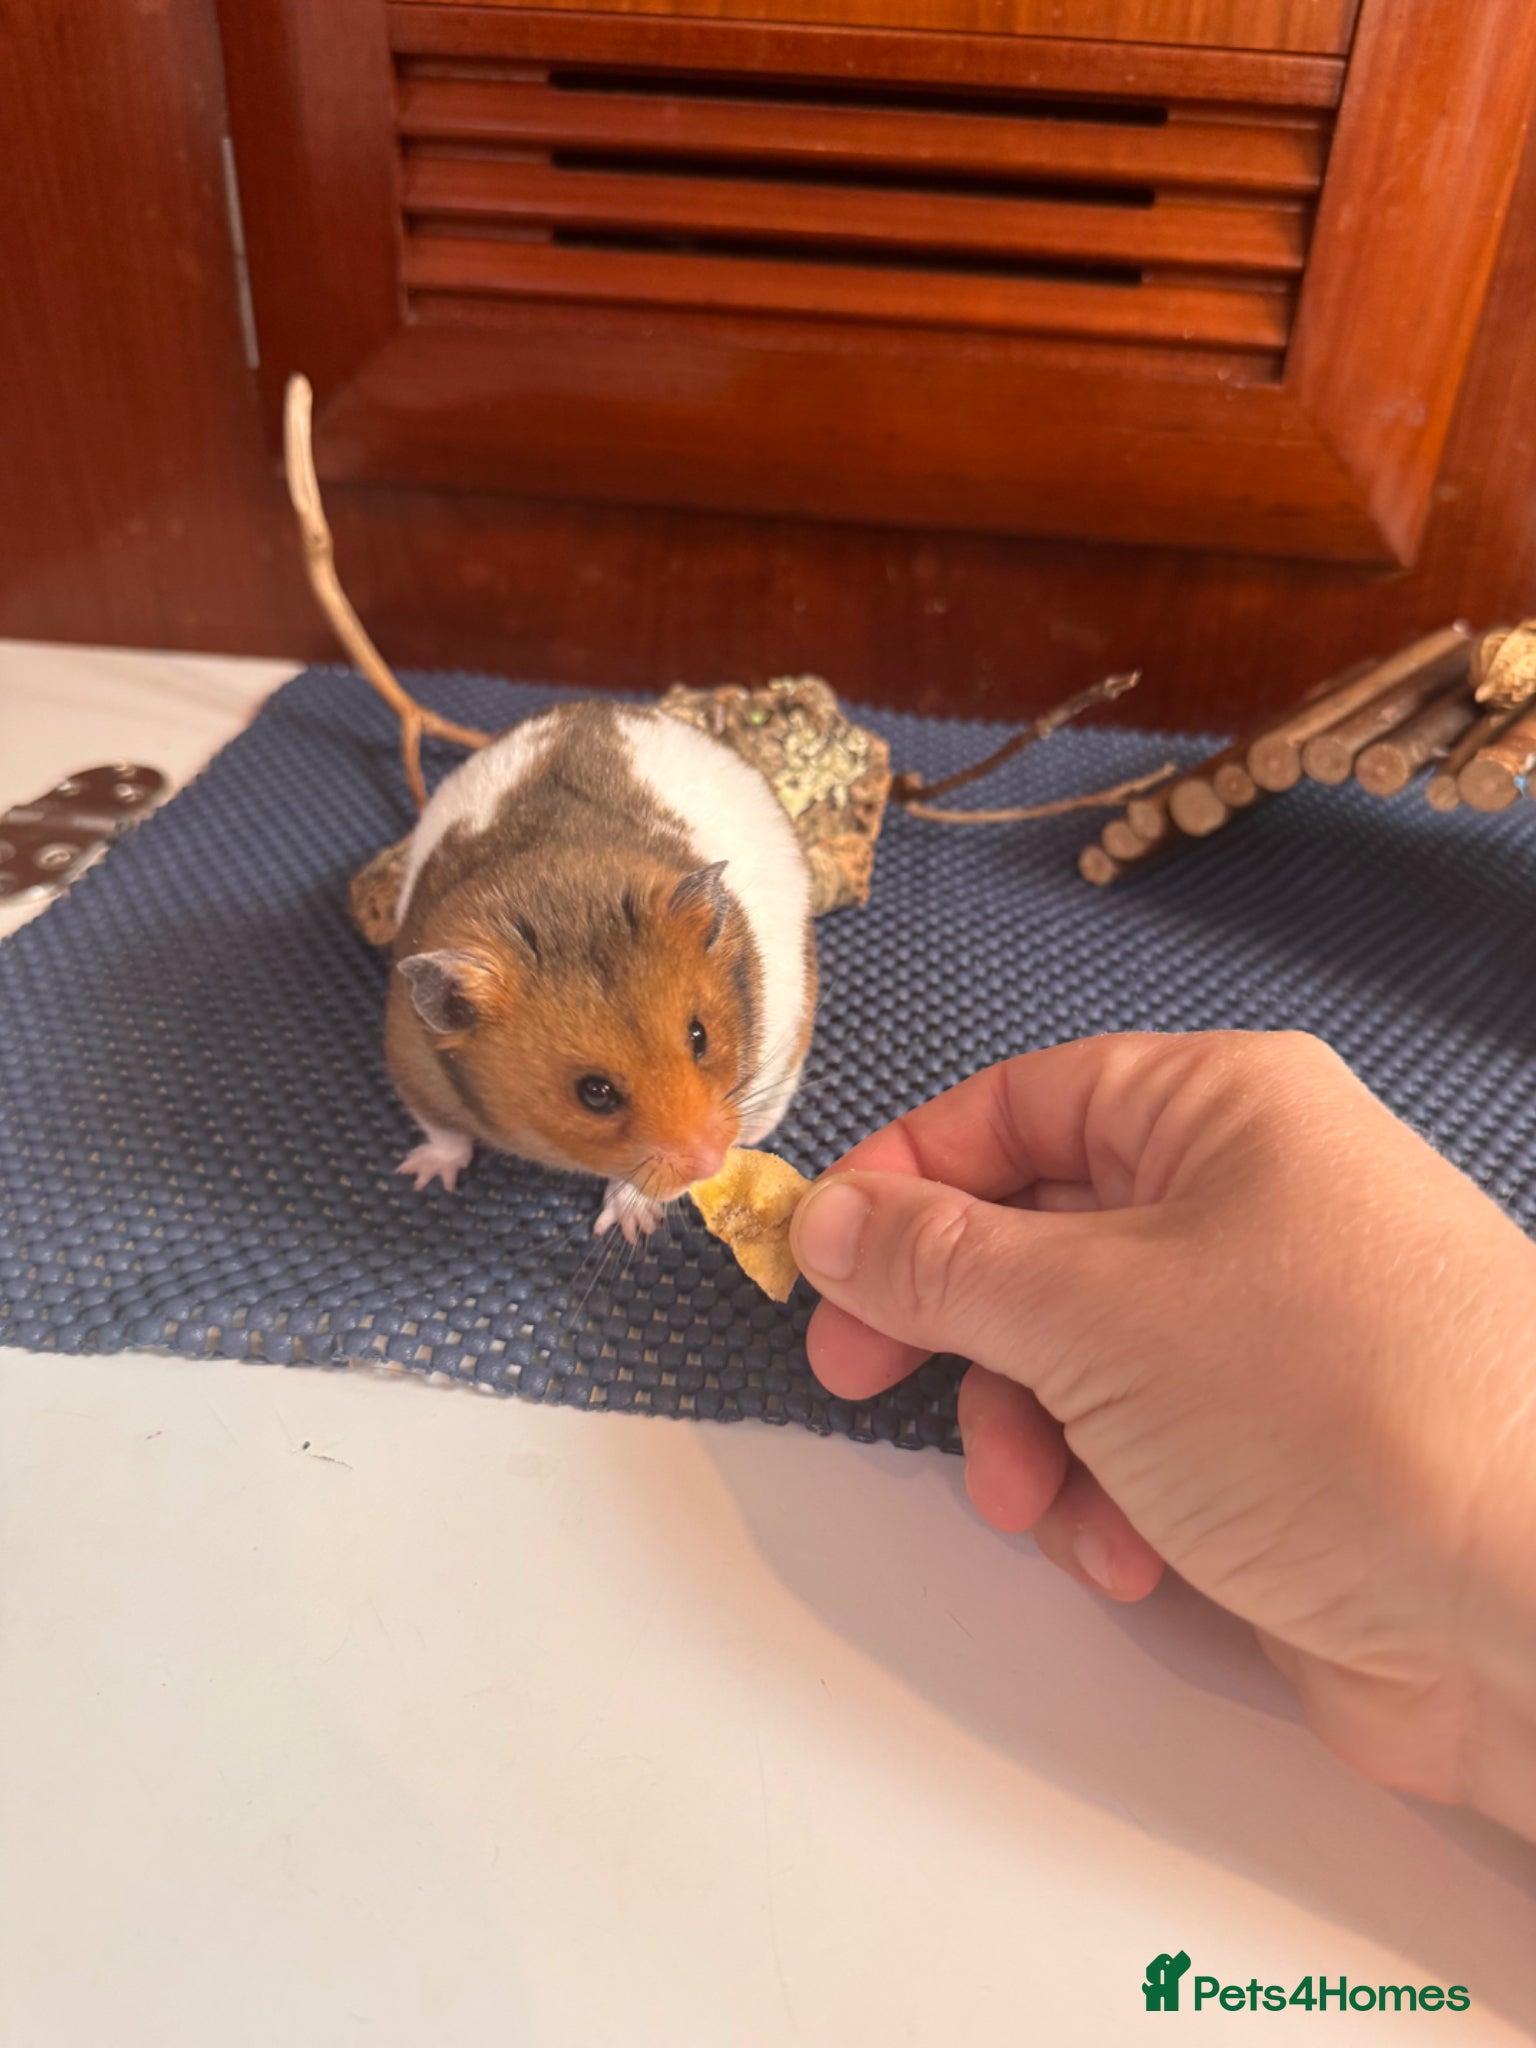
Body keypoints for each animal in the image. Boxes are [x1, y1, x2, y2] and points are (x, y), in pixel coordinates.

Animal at [385, 699, 817, 1242]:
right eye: (594, 1094)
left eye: (700, 1037)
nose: (711, 1163)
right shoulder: (413, 1061)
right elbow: (444, 1134)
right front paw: (421, 1177)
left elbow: (635, 1183)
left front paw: (631, 1226)